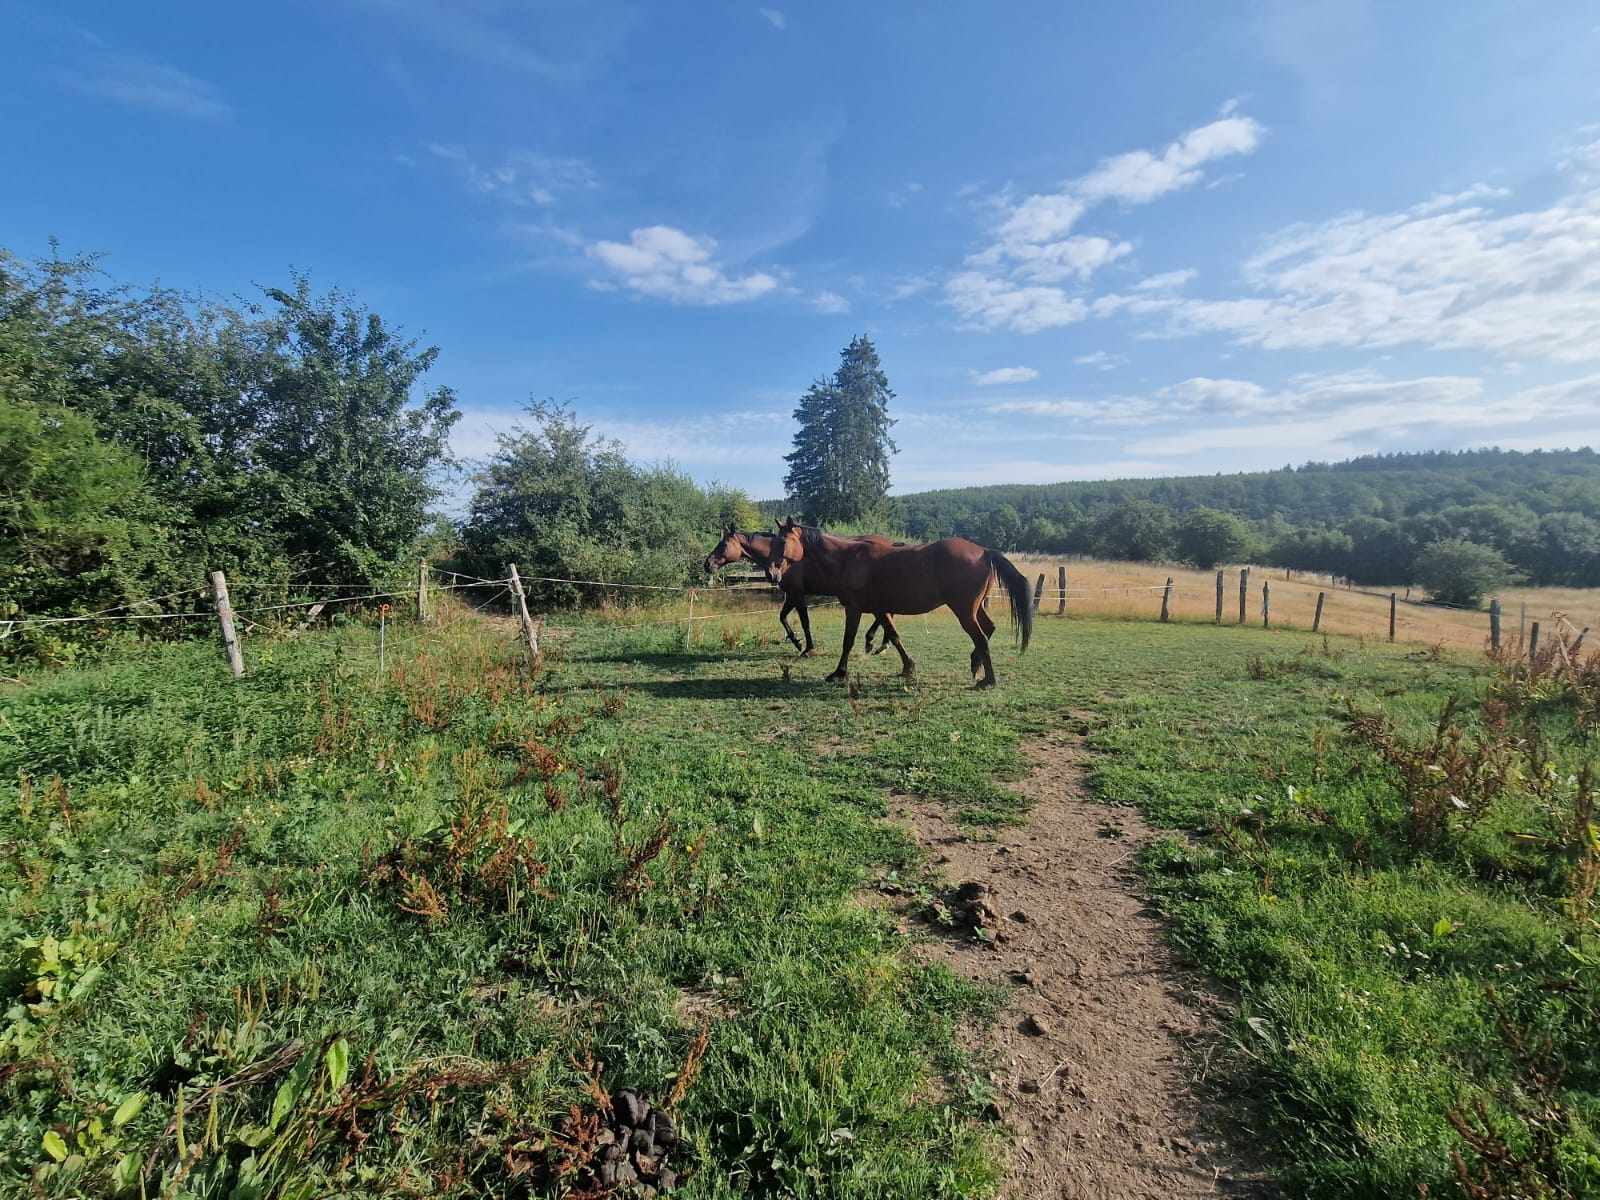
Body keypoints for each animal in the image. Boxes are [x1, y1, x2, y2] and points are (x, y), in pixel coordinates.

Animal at [700, 524, 902, 659]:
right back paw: (880, 644)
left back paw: (874, 642)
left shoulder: (797, 594)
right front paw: (796, 641)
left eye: (723, 545)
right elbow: (782, 617)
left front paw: (807, 647)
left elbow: (805, 622)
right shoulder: (791, 595)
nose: (707, 564)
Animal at [764, 521, 1036, 691]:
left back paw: (987, 680)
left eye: (783, 542)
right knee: (988, 630)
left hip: (964, 610)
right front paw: (908, 668)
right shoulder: (880, 609)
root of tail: (983, 551)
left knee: (981, 638)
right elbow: (894, 636)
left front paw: (839, 673)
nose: (772, 573)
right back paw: (975, 665)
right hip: (975, 608)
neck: (847, 559)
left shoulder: (854, 609)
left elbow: (848, 641)